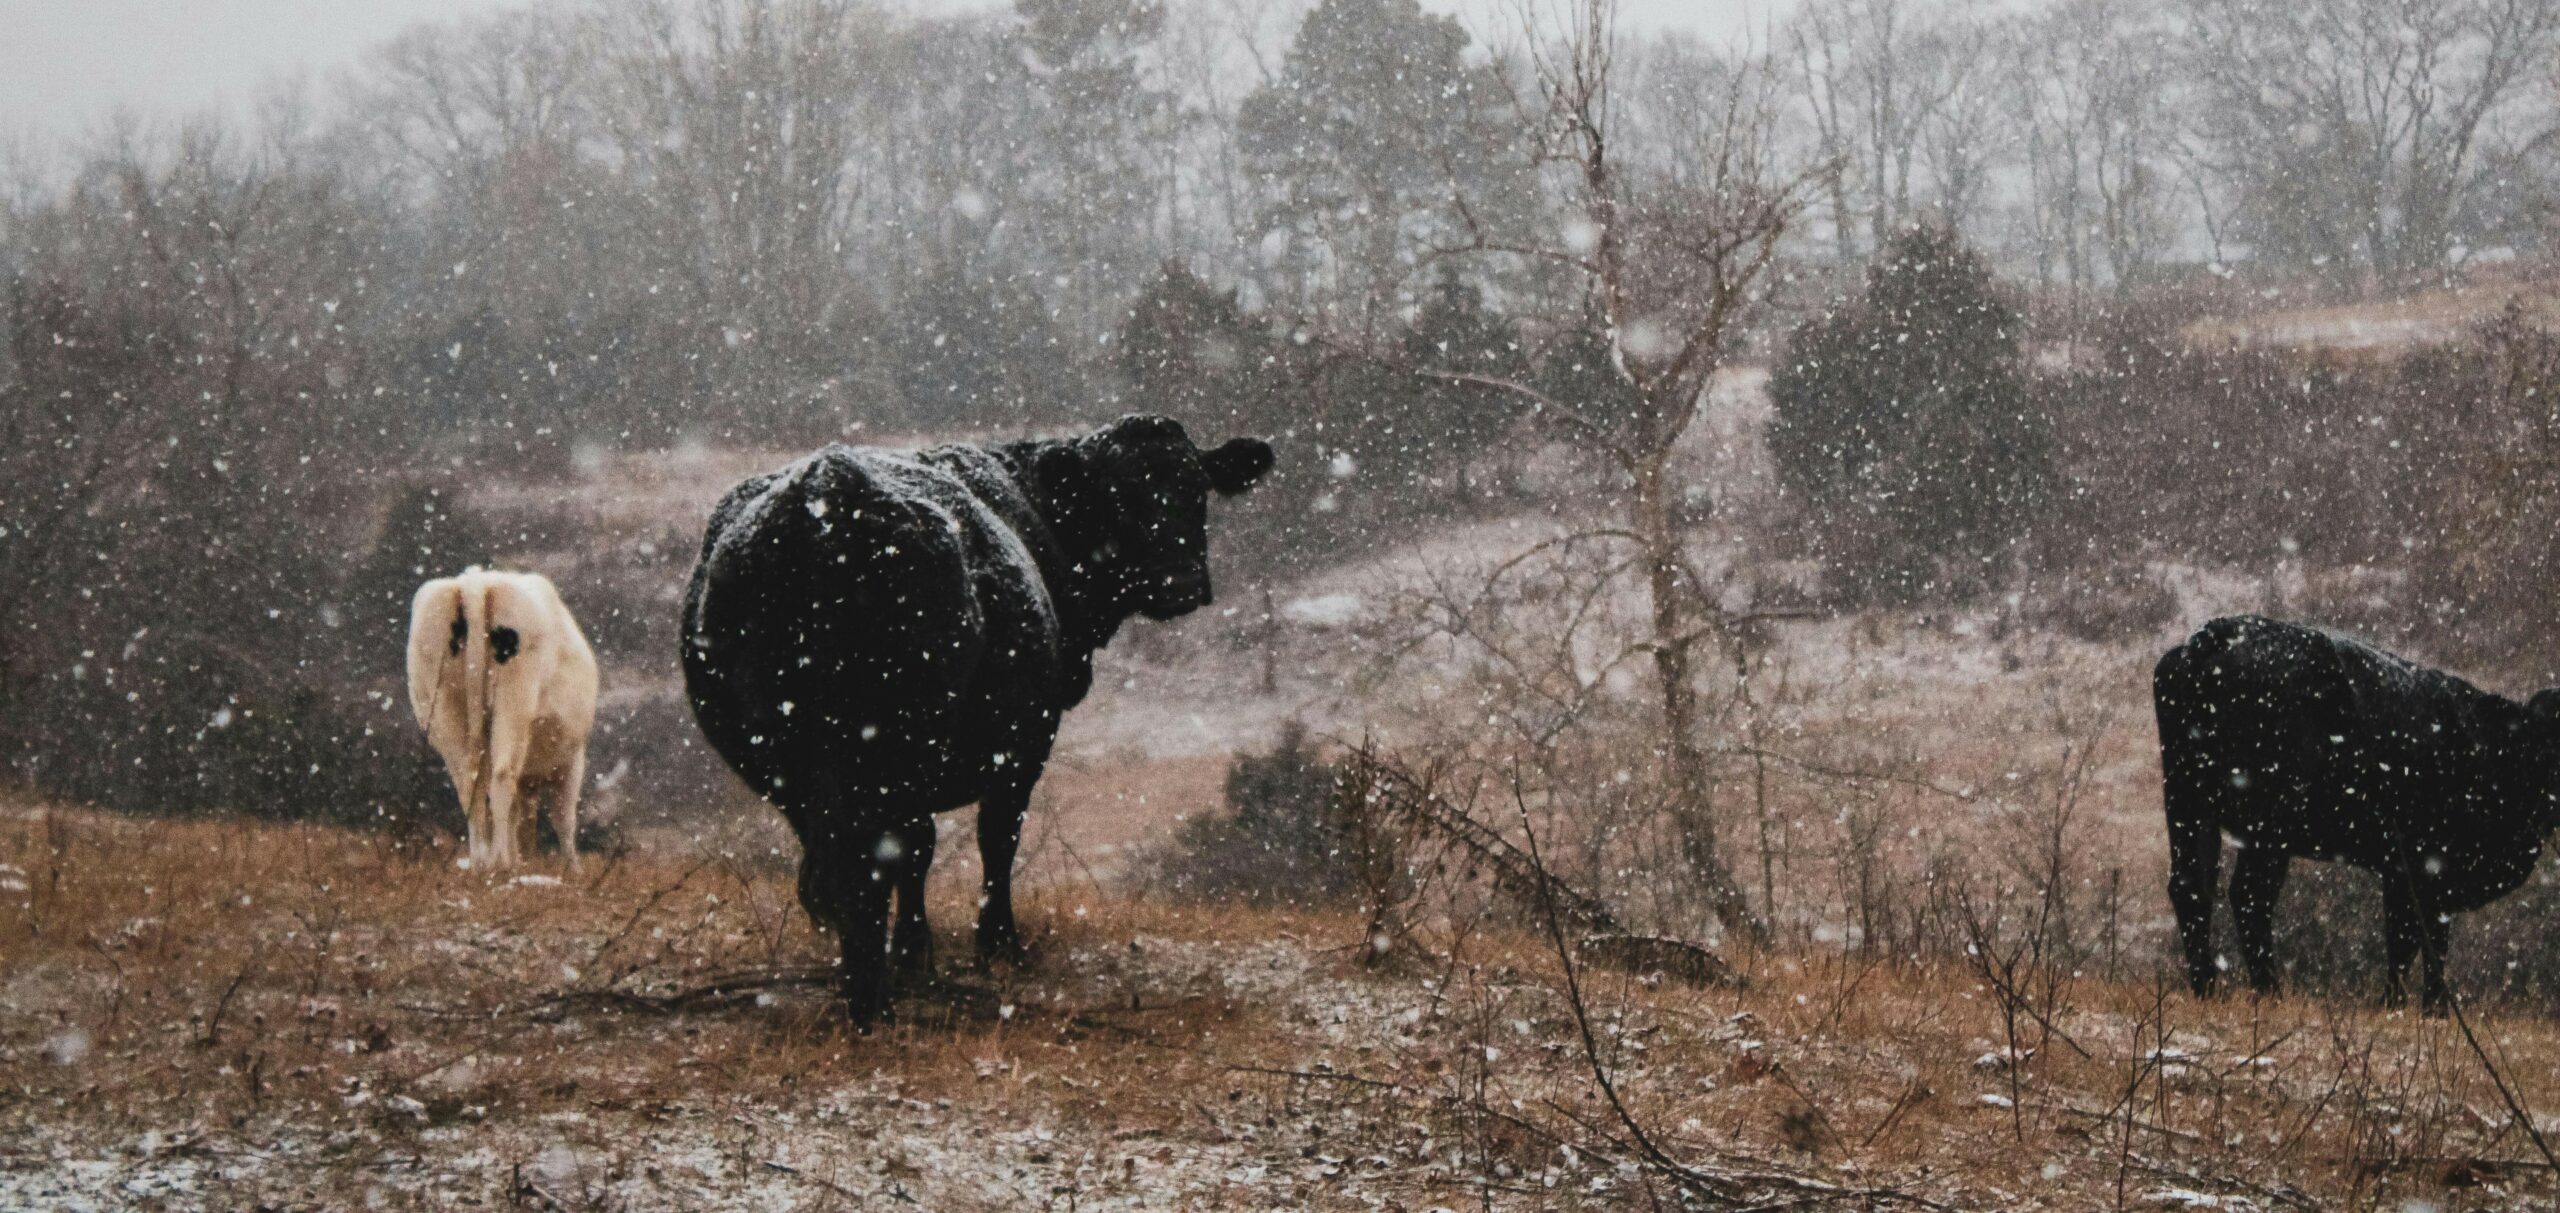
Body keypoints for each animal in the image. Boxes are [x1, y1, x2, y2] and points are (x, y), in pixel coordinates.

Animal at [401, 570, 596, 864]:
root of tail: (474, 582)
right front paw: (570, 867)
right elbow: (563, 818)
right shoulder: (571, 760)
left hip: (442, 706)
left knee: (469, 786)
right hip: (515, 700)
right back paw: (500, 862)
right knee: (502, 777)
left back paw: (480, 862)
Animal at [686, 414, 1274, 1023]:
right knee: (876, 858)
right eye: (1117, 497)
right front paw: (992, 947)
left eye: (1196, 488)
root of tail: (826, 492)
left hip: (788, 758)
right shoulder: (1025, 740)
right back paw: (874, 1003)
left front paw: (922, 953)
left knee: (844, 857)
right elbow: (995, 837)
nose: (1179, 583)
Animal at [2160, 616, 2560, 1003]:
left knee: (2191, 885)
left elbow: (2415, 939)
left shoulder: (2408, 873)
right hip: (2268, 828)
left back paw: (2207, 989)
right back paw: (2269, 992)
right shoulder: (2425, 866)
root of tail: (2216, 633)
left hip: (2187, 804)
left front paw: (2412, 1007)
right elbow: (2417, 939)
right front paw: (2418, 1007)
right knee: (2249, 896)